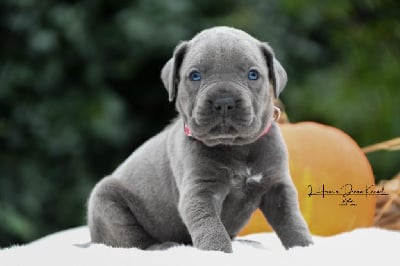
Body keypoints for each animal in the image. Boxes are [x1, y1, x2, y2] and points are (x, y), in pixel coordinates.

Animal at [87, 26, 312, 252]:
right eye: (195, 75)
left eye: (253, 74)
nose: (224, 101)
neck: (236, 146)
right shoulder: (200, 192)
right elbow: (210, 226)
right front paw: (219, 252)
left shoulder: (277, 187)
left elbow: (293, 221)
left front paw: (304, 247)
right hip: (107, 203)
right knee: (134, 241)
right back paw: (164, 246)